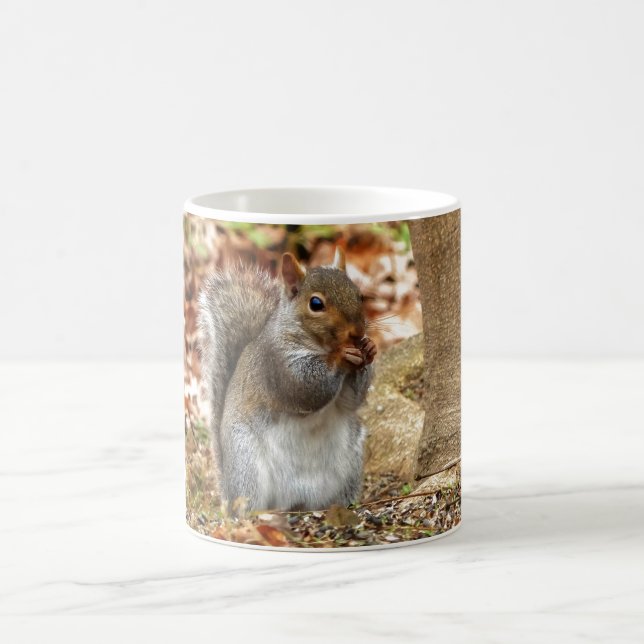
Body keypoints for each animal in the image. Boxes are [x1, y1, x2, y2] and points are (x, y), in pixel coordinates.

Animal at [197, 247, 377, 513]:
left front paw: (370, 348)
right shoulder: (277, 364)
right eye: (316, 304)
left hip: (351, 460)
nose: (357, 333)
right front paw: (341, 356)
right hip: (246, 463)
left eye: (359, 295)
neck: (319, 345)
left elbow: (350, 400)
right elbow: (304, 388)